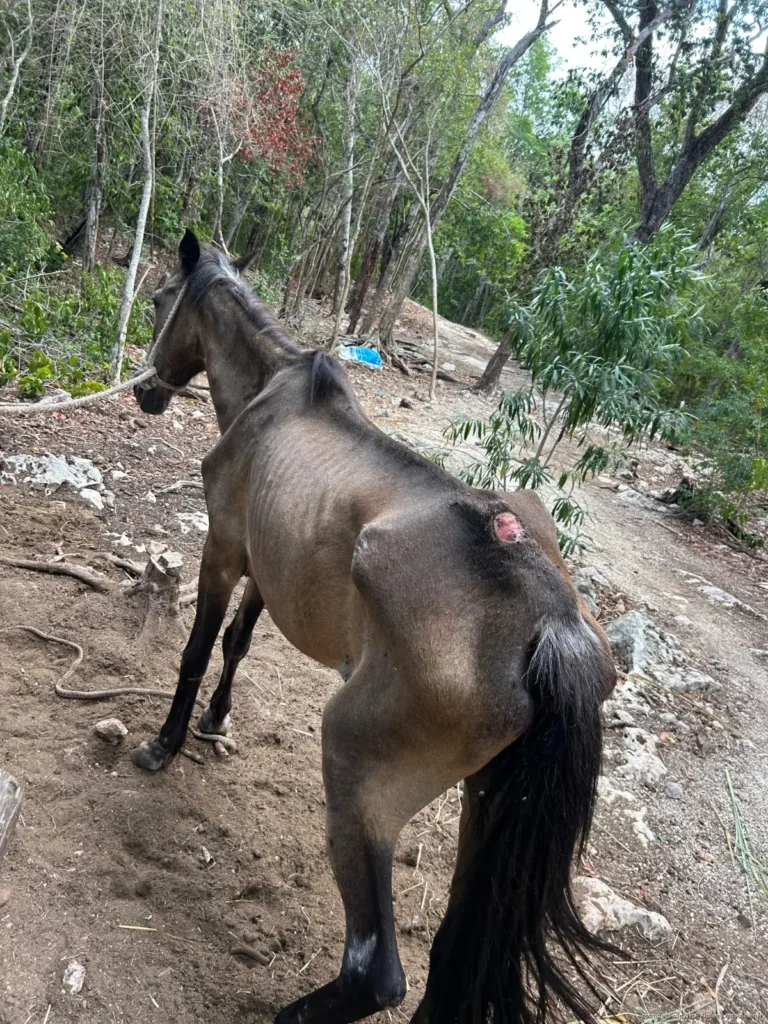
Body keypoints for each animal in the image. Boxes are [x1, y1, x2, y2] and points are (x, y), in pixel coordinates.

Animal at [131, 229, 617, 1024]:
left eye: (157, 302)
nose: (145, 391)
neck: (274, 397)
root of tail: (550, 622)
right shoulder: (270, 567)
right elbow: (236, 644)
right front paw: (214, 722)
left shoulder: (224, 550)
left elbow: (198, 650)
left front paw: (166, 743)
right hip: (486, 807)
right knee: (453, 956)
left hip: (357, 776)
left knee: (377, 972)